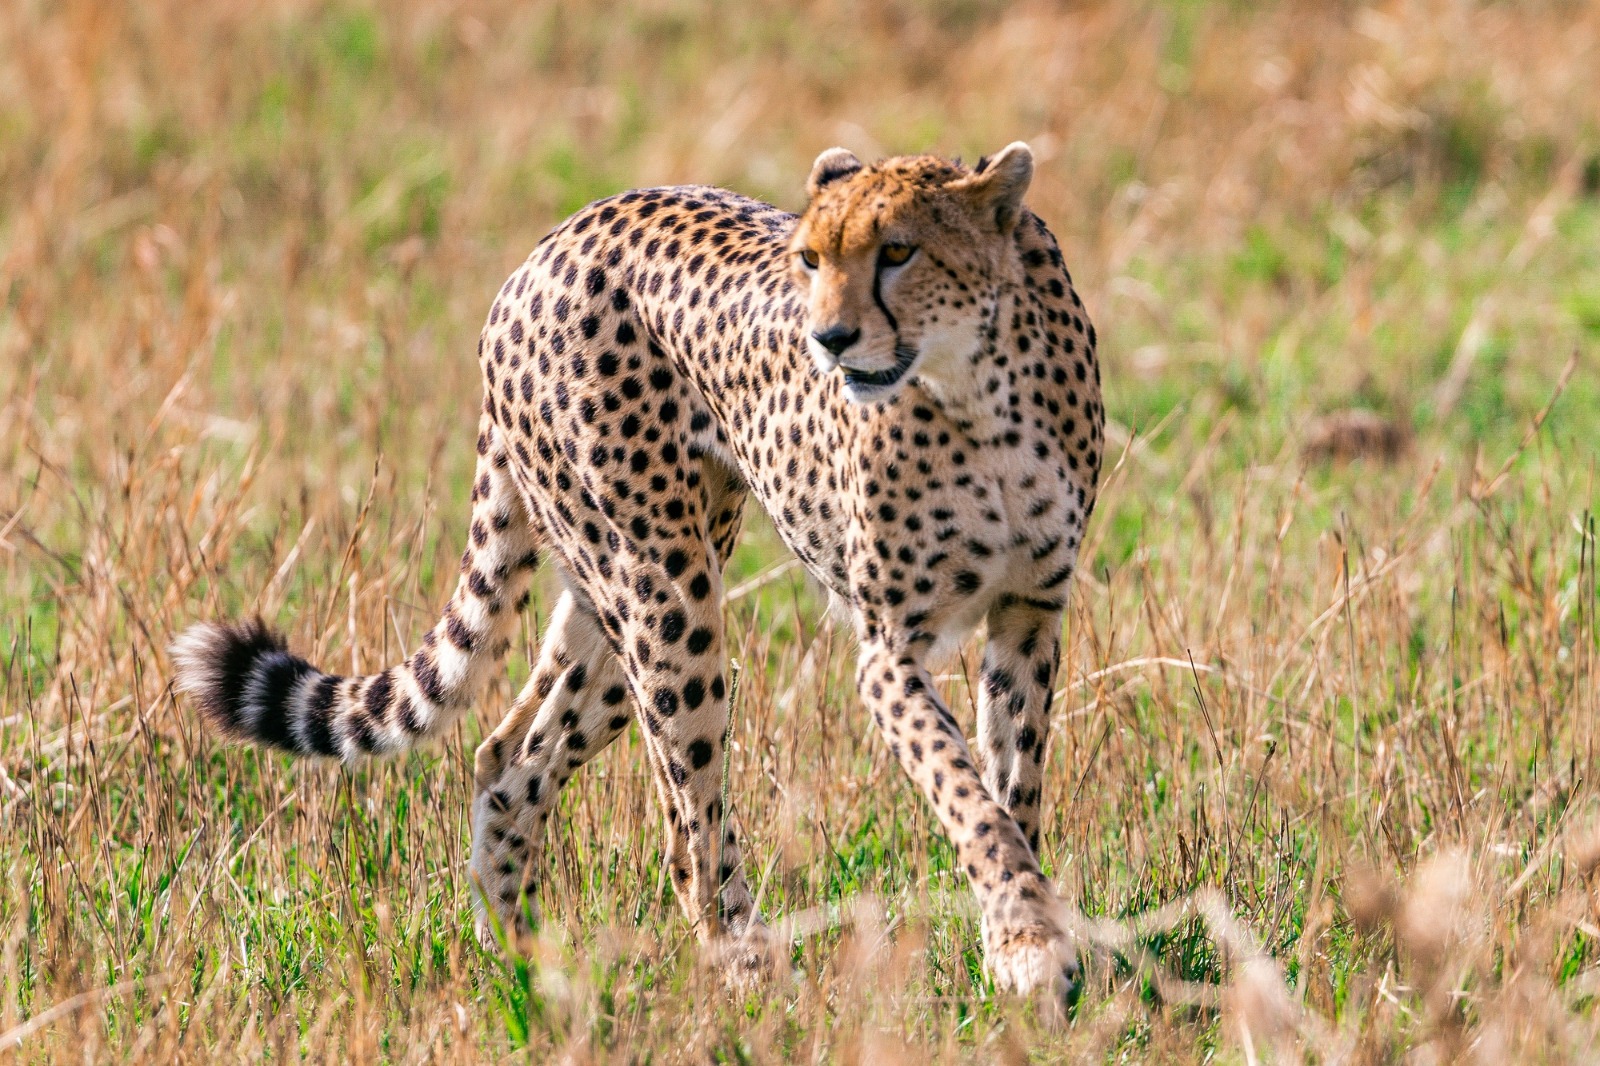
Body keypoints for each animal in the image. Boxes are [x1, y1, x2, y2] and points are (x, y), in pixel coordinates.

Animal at [172, 143, 1100, 998]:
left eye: (899, 250)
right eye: (810, 258)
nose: (828, 340)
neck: (975, 388)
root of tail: (549, 246)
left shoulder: (1028, 612)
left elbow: (1011, 786)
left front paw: (1025, 943)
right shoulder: (888, 649)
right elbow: (964, 792)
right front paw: (1026, 942)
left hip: (628, 590)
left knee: (510, 758)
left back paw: (531, 968)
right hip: (664, 594)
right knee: (686, 828)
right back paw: (747, 974)